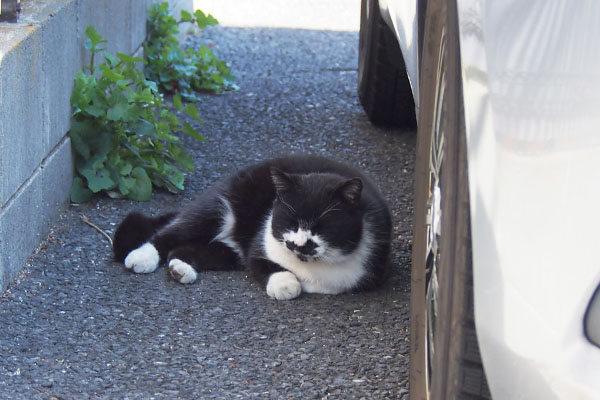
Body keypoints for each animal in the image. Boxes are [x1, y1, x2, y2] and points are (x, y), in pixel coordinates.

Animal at [114, 156, 392, 300]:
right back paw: (142, 257)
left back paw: (180, 269)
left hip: (228, 248)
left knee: (192, 248)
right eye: (291, 222)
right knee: (171, 234)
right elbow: (265, 266)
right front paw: (285, 284)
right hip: (218, 206)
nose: (299, 244)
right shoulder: (260, 246)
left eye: (321, 226)